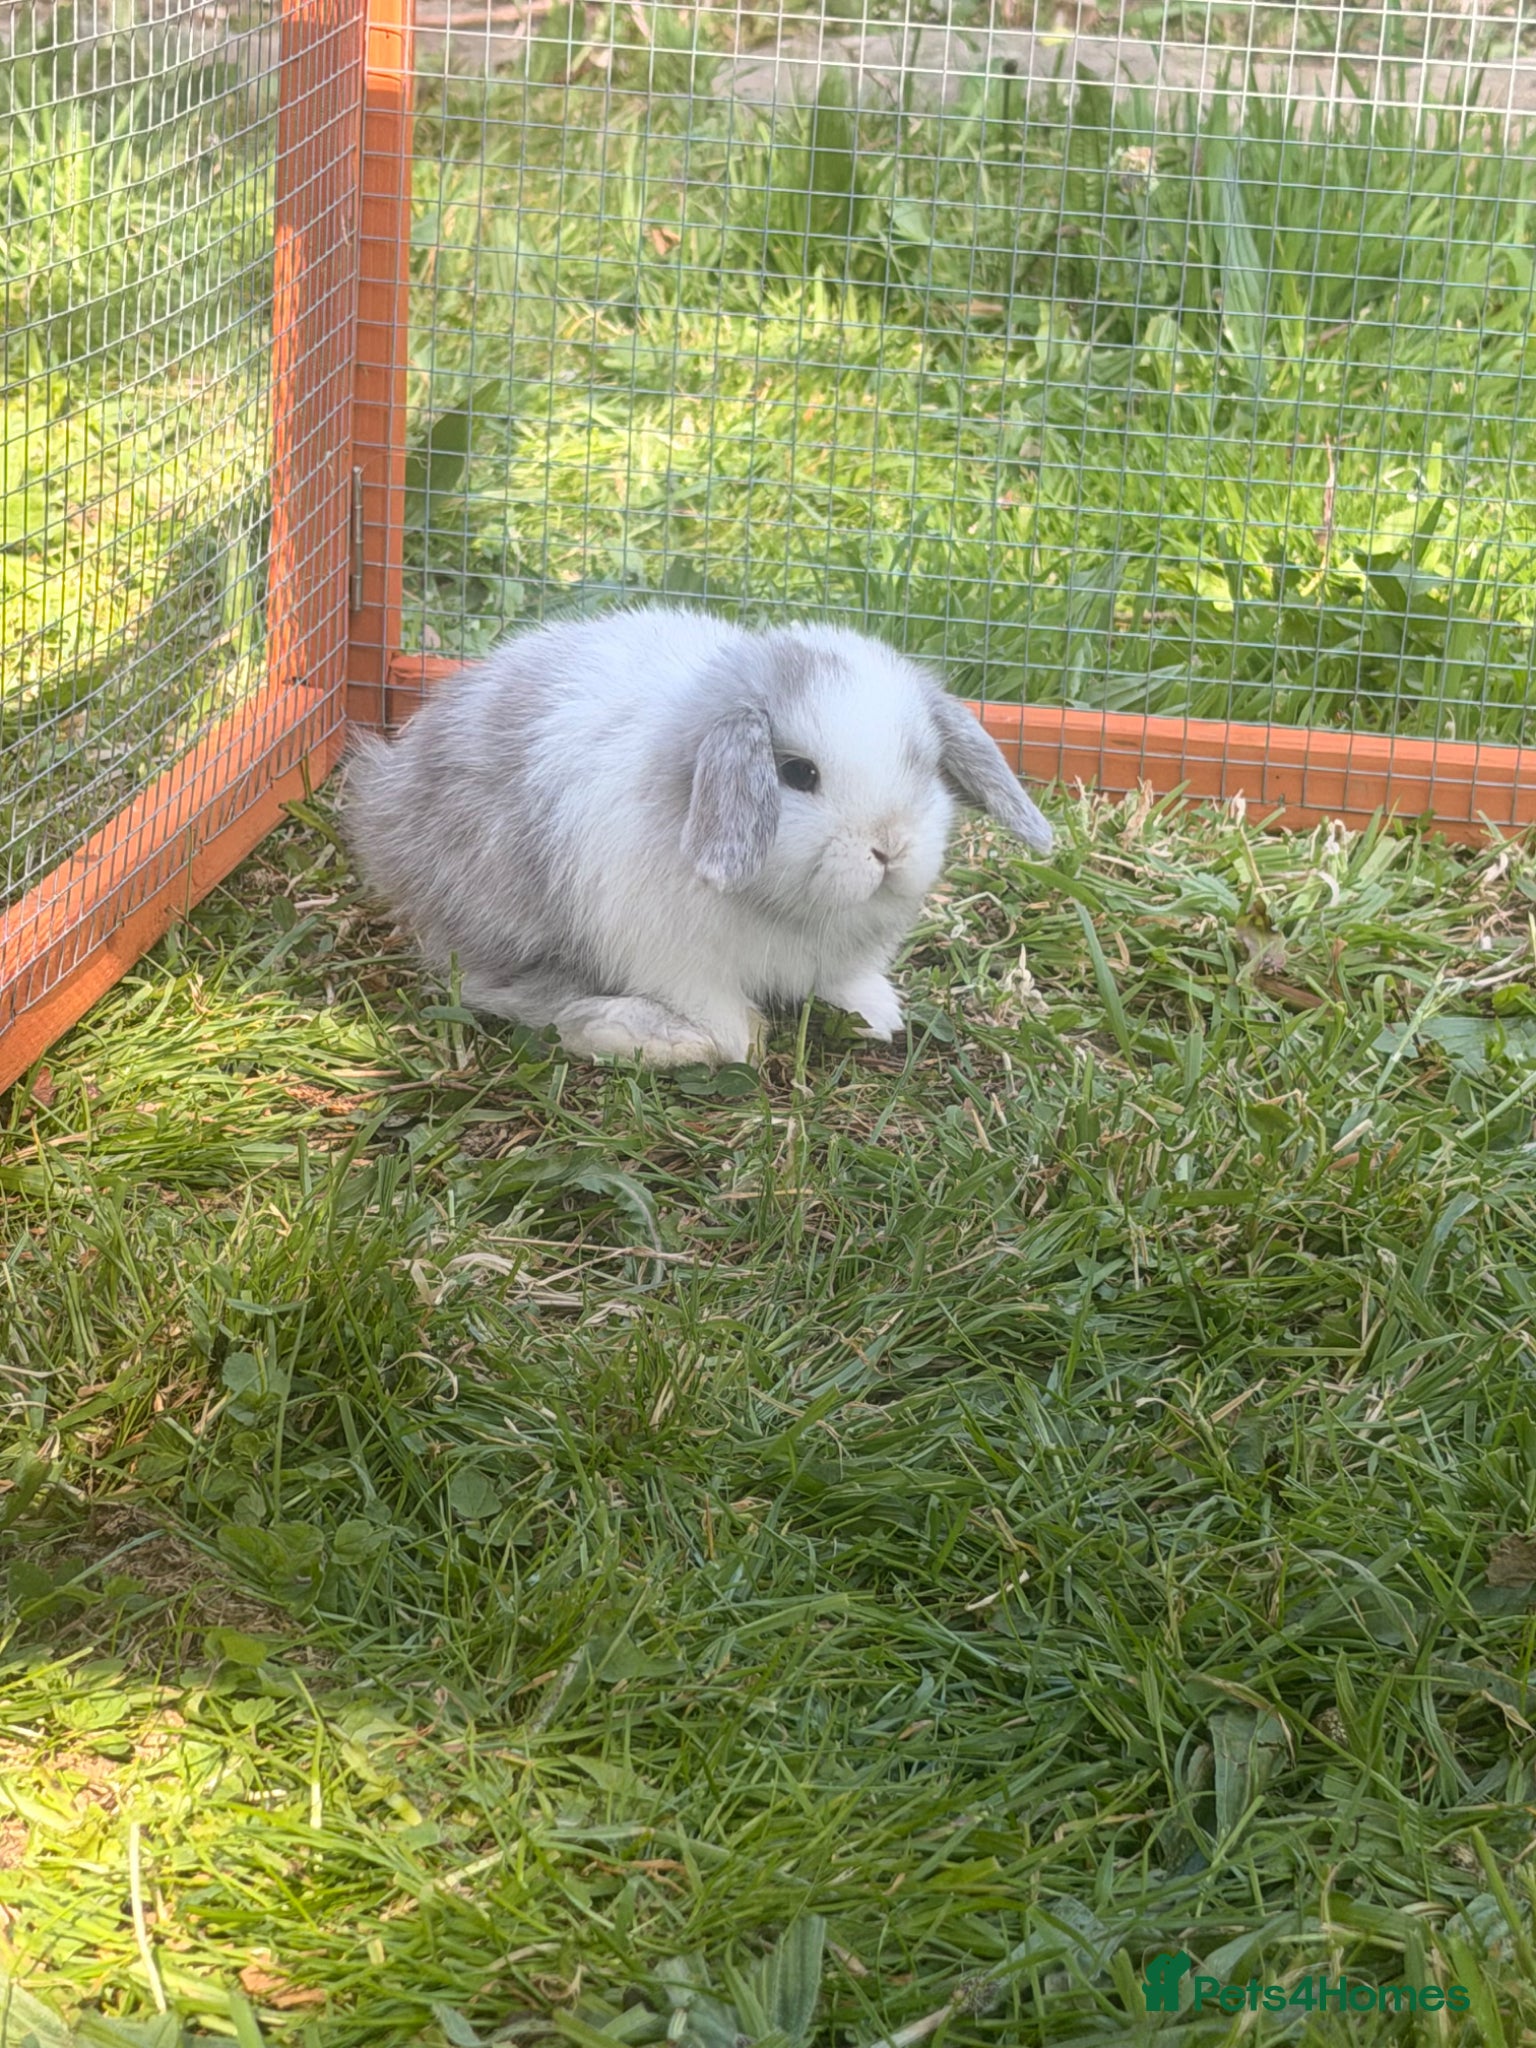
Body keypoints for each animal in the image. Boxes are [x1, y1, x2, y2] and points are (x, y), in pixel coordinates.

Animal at [342, 605, 1054, 1067]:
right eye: (797, 773)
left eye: (923, 765)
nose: (888, 847)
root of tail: (386, 802)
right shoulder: (672, 962)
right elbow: (727, 1028)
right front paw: (689, 1040)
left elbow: (849, 984)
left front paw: (878, 1017)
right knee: (487, 986)